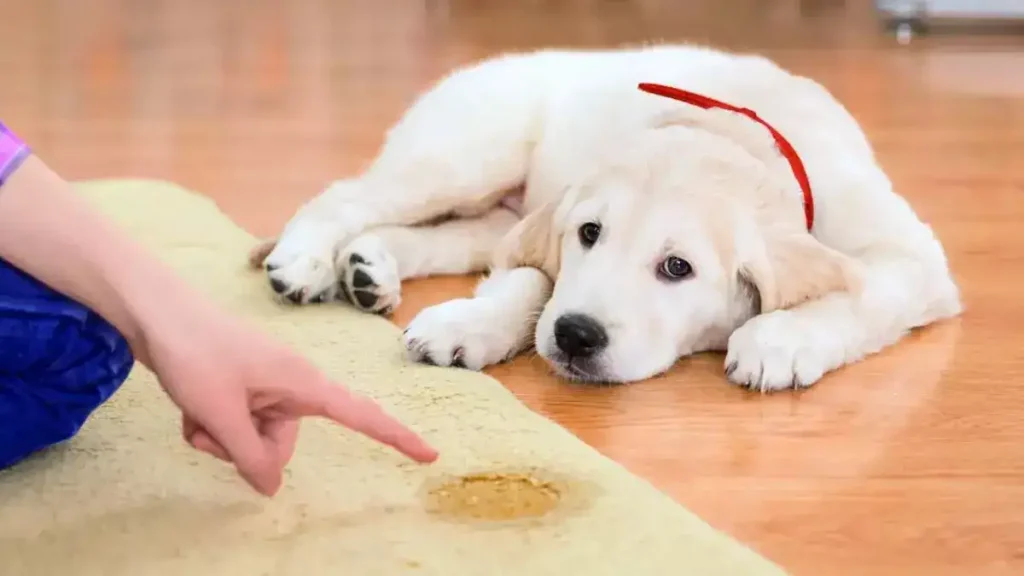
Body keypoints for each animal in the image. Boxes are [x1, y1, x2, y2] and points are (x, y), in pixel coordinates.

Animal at [247, 42, 958, 387]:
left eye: (677, 267)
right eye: (589, 233)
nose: (576, 337)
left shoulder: (914, 259)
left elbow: (863, 292)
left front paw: (780, 338)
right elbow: (532, 281)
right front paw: (472, 324)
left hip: (492, 211)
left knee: (443, 236)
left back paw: (368, 267)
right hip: (468, 153)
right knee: (346, 195)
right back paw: (305, 261)